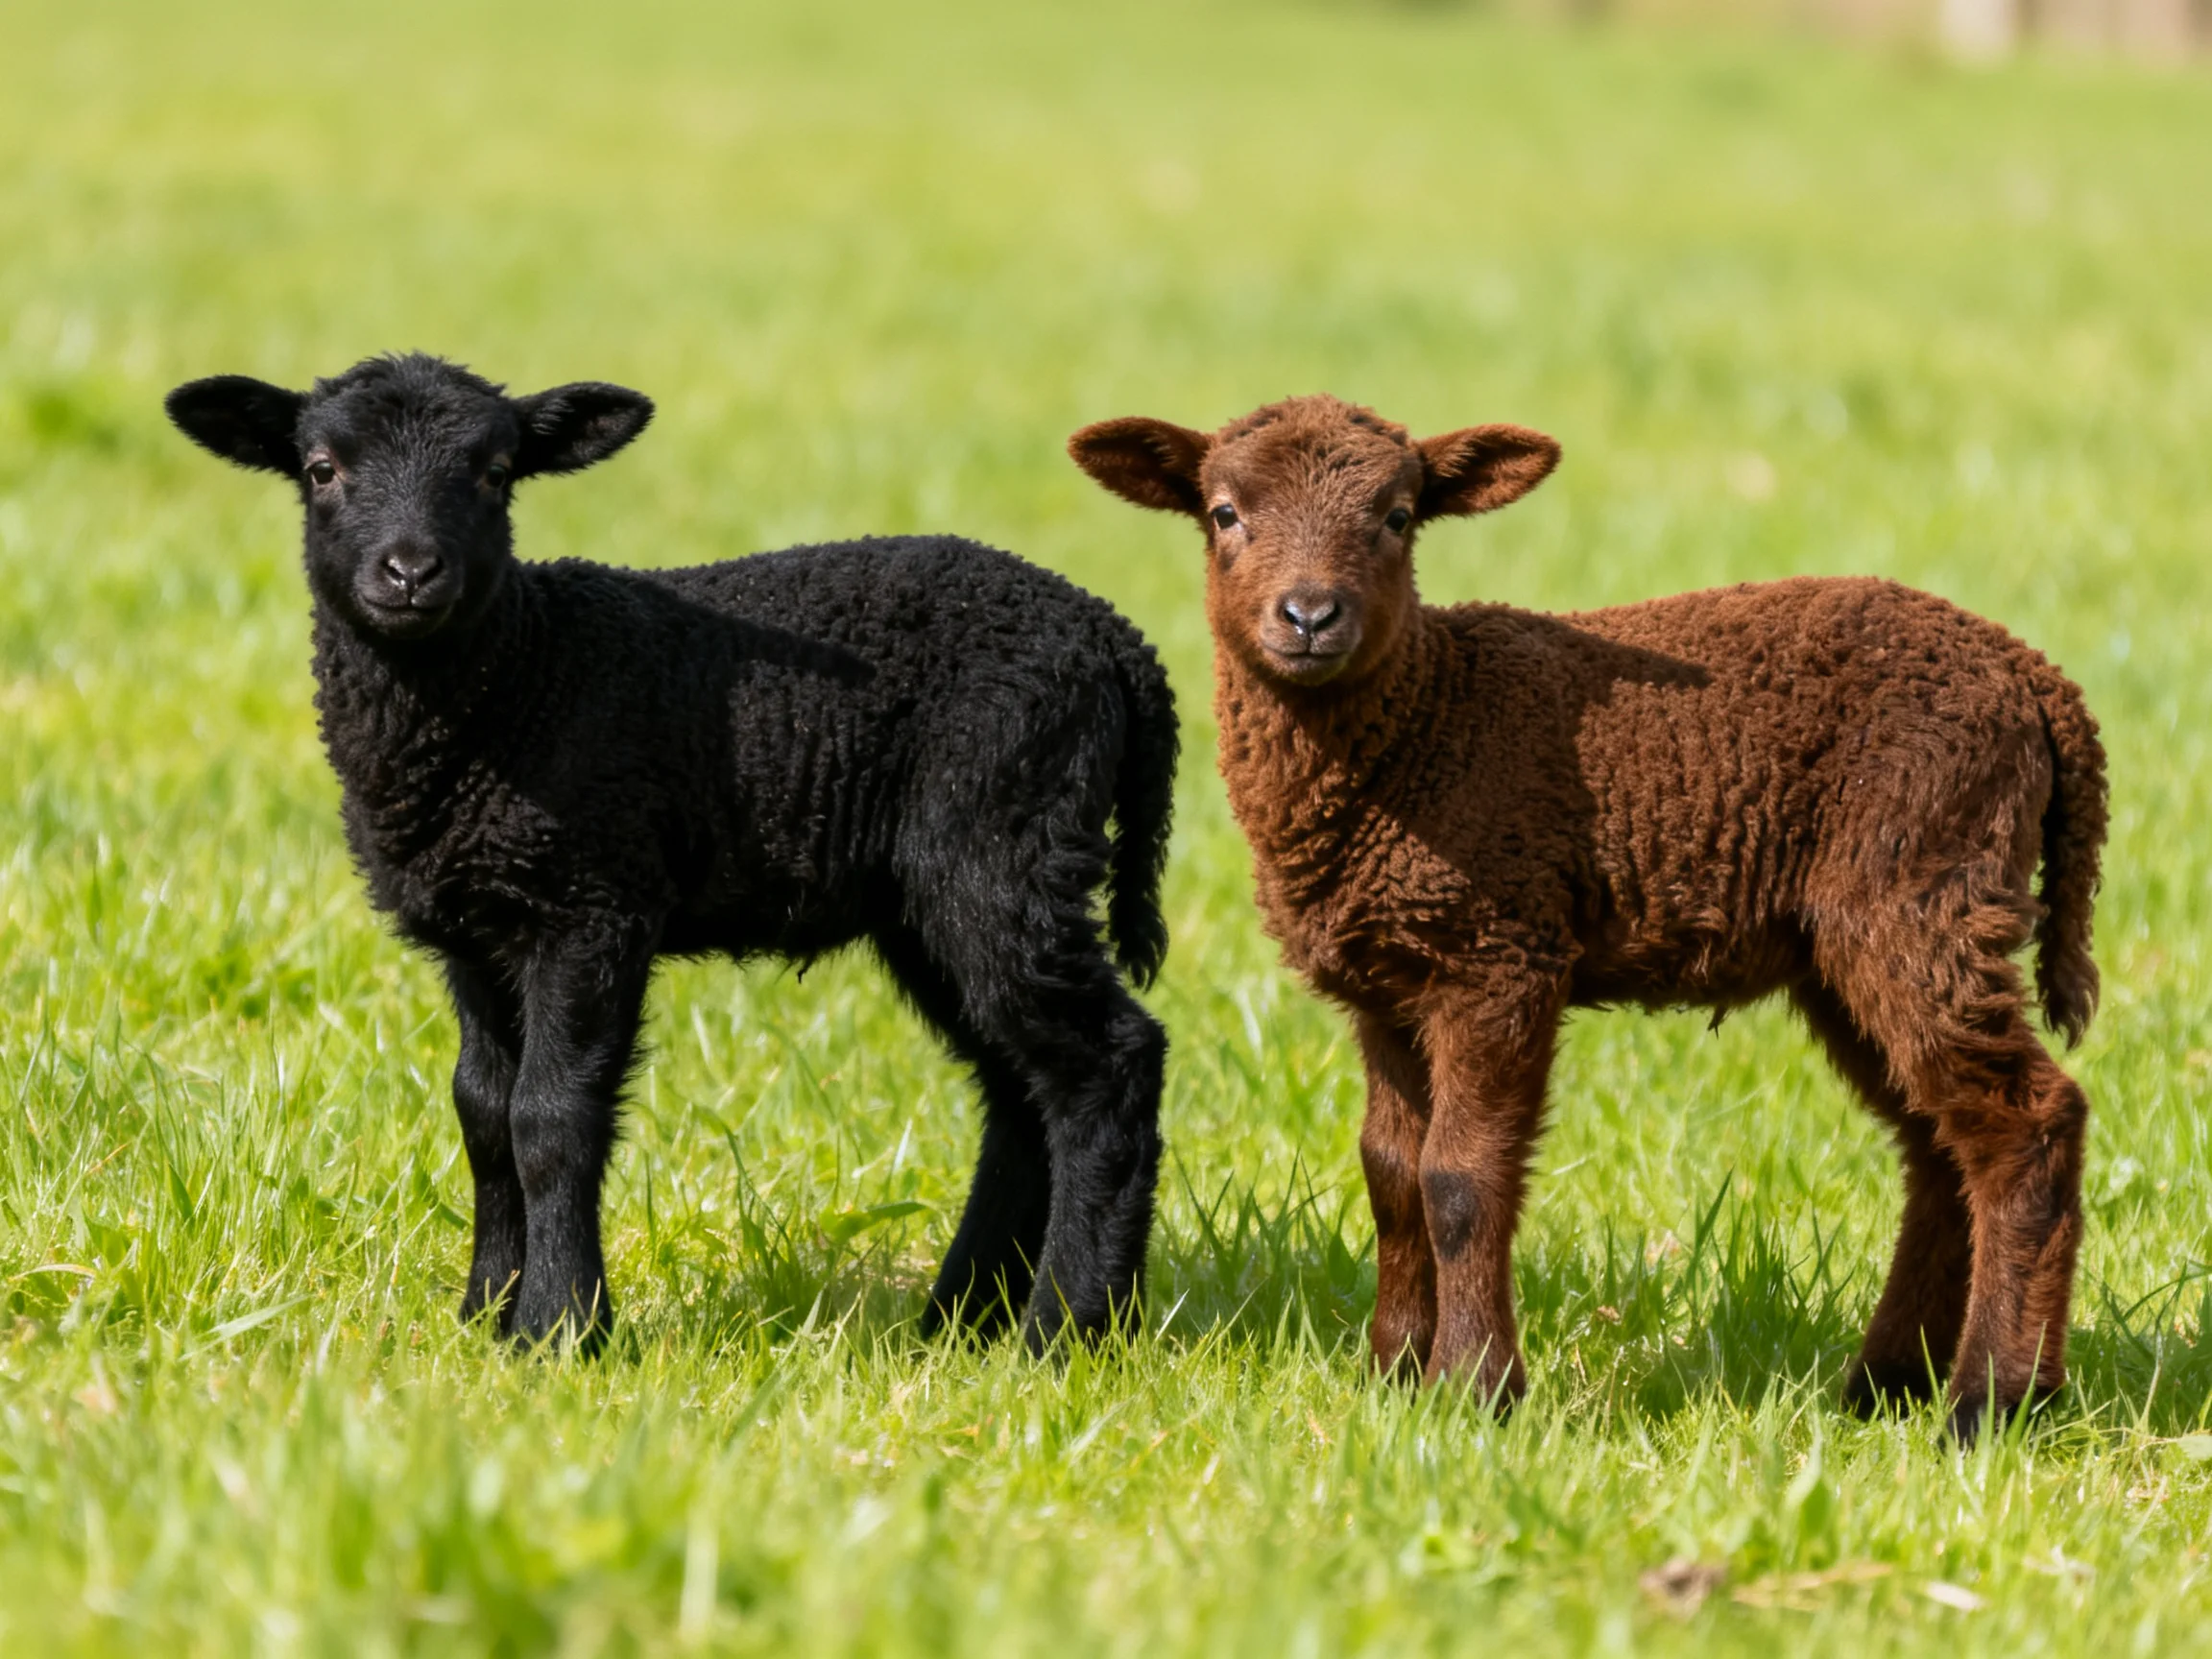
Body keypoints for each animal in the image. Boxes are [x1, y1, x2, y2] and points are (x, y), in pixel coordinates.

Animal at [164, 352, 1177, 1353]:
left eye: (496, 474)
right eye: (321, 470)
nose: (411, 572)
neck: (520, 676)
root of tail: (1112, 638)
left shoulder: (592, 903)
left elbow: (550, 1120)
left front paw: (561, 1329)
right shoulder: (478, 928)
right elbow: (483, 1114)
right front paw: (485, 1315)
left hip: (1004, 840)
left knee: (1108, 1064)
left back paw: (1070, 1330)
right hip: (935, 895)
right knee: (1019, 1091)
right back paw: (960, 1321)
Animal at [1069, 394, 2106, 1438]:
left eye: (1398, 516)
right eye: (1224, 514)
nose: (1311, 616)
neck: (1423, 722)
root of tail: (2034, 677)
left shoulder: (1501, 953)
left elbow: (1459, 1180)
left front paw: (1475, 1388)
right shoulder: (1389, 982)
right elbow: (1391, 1175)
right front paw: (1394, 1376)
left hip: (1922, 887)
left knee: (2027, 1125)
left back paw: (1992, 1402)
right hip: (1853, 937)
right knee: (1940, 1146)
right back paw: (1886, 1385)